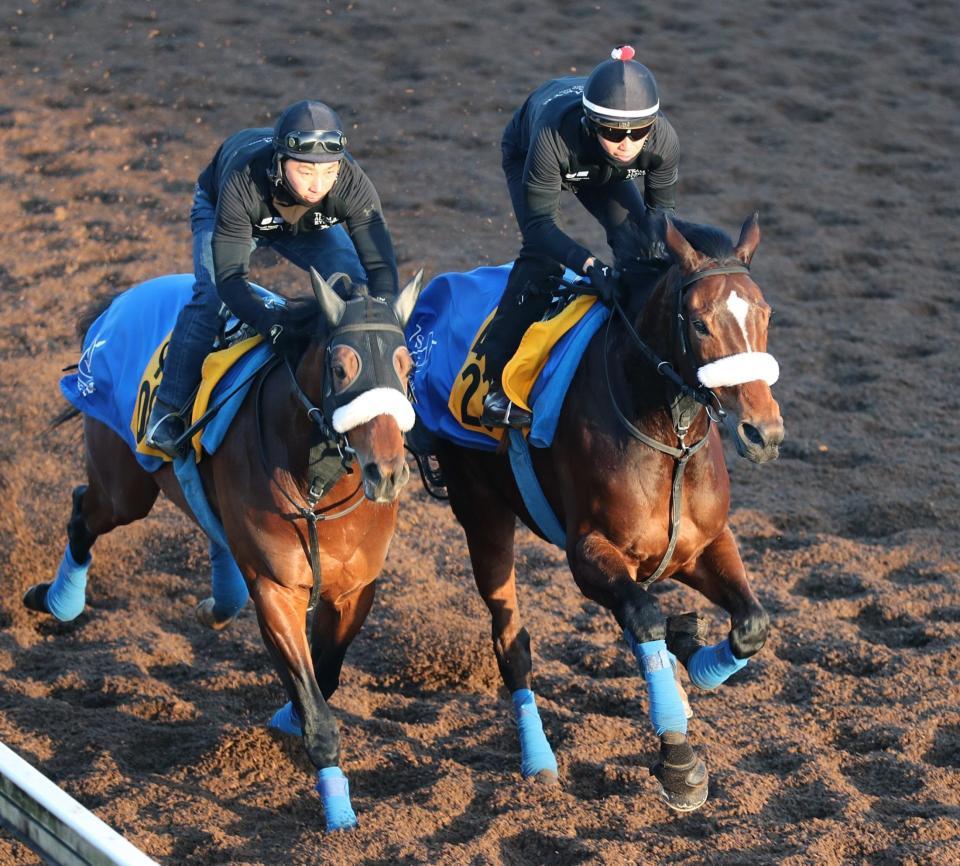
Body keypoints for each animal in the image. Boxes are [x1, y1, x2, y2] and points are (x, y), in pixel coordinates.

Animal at [23, 268, 423, 832]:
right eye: (341, 368)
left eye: (406, 364)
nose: (386, 472)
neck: (317, 485)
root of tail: (115, 306)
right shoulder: (276, 590)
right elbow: (318, 709)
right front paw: (338, 813)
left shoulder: (355, 590)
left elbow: (325, 676)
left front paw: (289, 716)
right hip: (125, 487)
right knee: (84, 509)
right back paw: (58, 601)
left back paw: (214, 605)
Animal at [432, 214, 783, 811]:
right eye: (699, 323)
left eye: (763, 314)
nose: (764, 431)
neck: (669, 437)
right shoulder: (589, 553)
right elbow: (643, 617)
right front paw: (678, 760)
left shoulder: (705, 544)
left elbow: (750, 625)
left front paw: (691, 649)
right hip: (482, 514)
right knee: (512, 643)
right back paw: (538, 759)